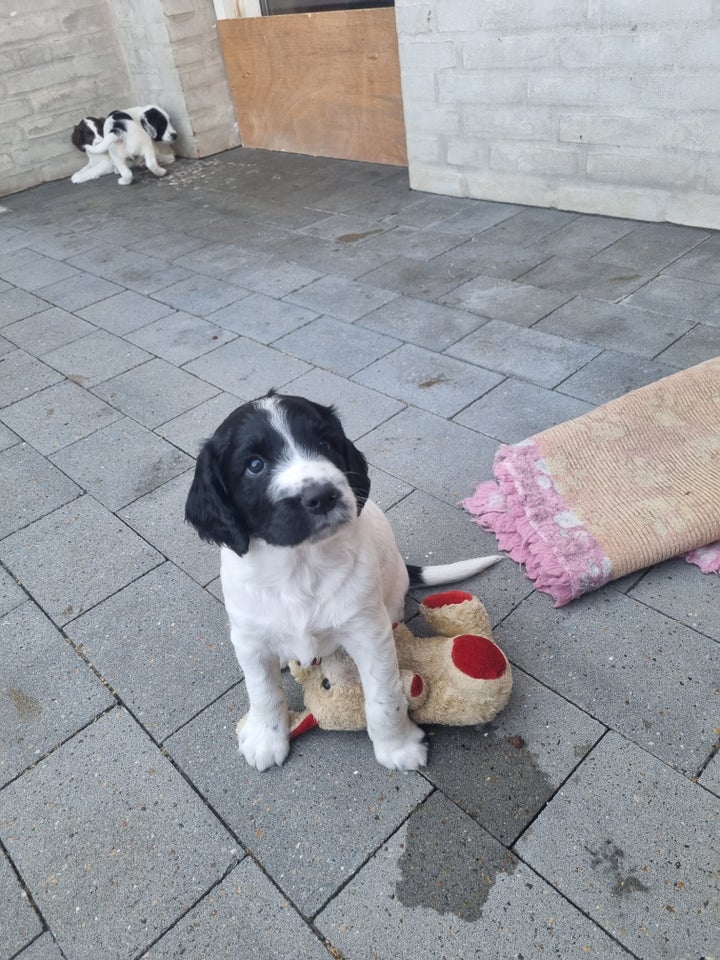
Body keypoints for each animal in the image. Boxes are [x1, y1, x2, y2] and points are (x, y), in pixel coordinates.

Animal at [186, 390, 500, 772]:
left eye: (324, 442)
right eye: (254, 465)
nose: (322, 496)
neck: (299, 564)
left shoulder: (369, 632)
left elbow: (384, 697)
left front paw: (397, 746)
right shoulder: (248, 636)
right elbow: (262, 691)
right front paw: (266, 737)